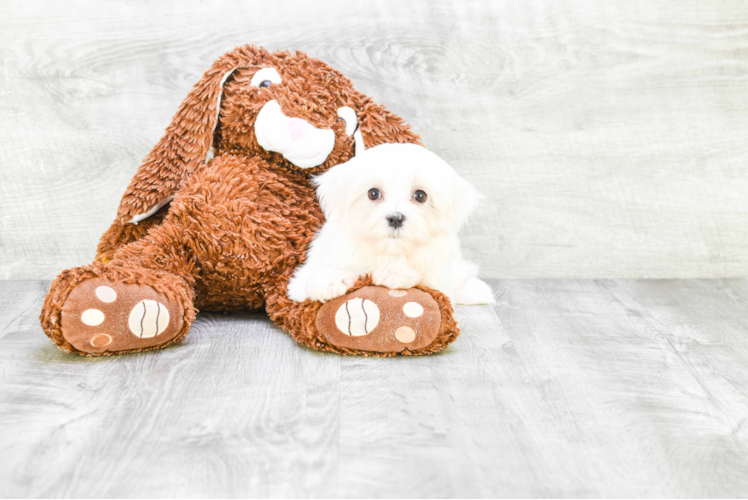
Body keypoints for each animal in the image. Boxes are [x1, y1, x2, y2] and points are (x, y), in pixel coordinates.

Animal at [290, 142, 494, 304]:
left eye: (420, 196)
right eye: (373, 193)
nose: (396, 218)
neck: (388, 250)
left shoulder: (438, 281)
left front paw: (395, 273)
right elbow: (307, 284)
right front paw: (330, 280)